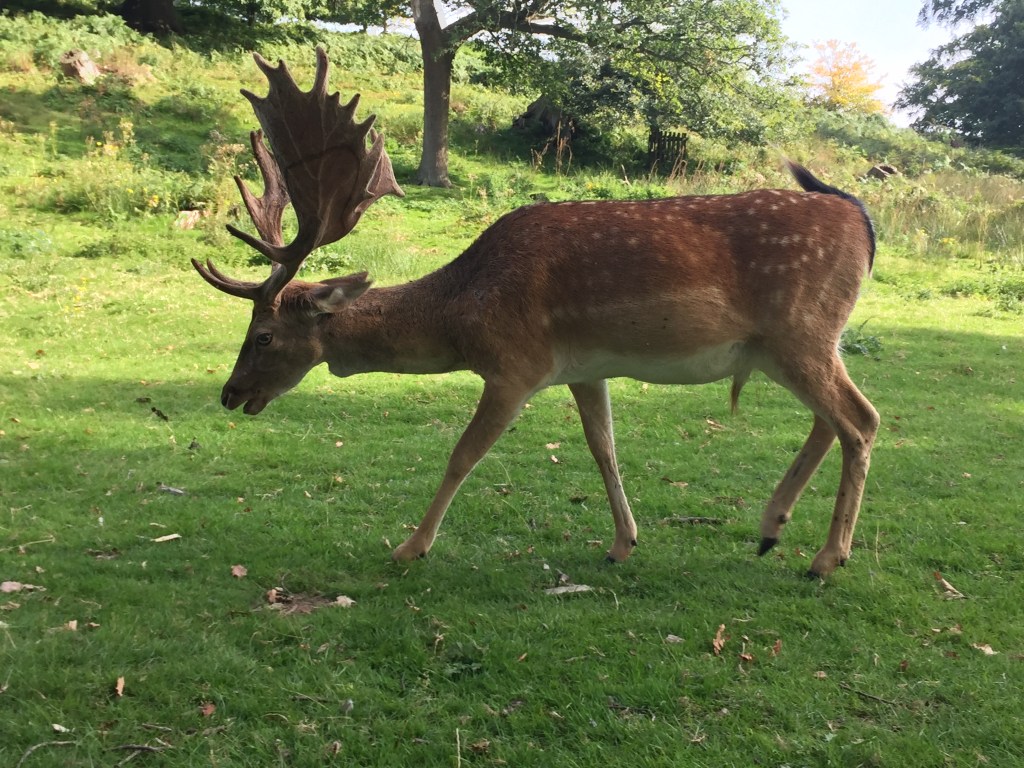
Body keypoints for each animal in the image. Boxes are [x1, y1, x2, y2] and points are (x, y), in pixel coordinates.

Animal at [193, 48, 879, 579]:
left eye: (262, 335)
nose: (229, 394)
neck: (462, 317)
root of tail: (862, 220)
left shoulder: (515, 364)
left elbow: (462, 455)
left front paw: (410, 547)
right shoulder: (584, 368)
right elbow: (604, 447)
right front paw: (623, 544)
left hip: (801, 331)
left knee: (860, 420)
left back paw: (827, 558)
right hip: (789, 346)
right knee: (831, 420)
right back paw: (770, 528)